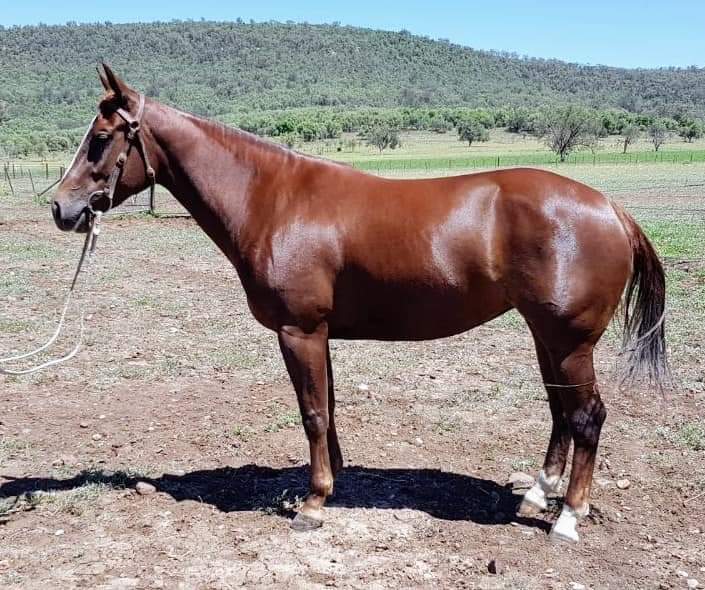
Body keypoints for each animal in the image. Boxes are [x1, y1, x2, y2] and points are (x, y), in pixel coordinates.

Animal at [51, 64, 668, 543]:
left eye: (101, 138)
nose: (61, 207)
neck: (273, 198)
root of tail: (611, 209)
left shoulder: (299, 330)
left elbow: (312, 412)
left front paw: (313, 504)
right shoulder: (317, 332)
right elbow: (327, 408)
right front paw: (334, 481)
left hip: (569, 342)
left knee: (586, 417)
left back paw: (567, 518)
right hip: (548, 338)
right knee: (561, 412)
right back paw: (538, 495)